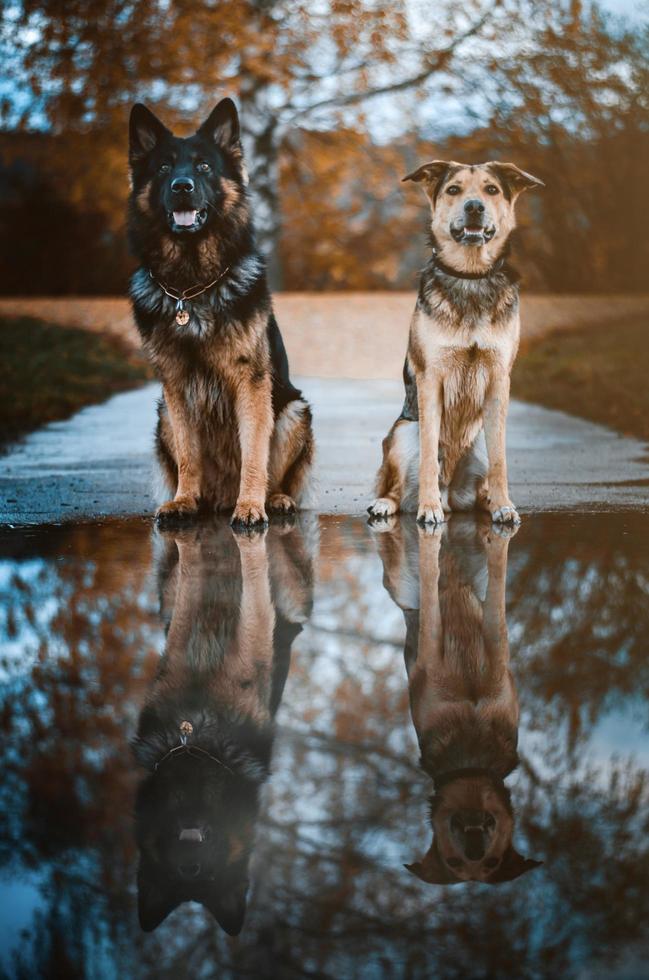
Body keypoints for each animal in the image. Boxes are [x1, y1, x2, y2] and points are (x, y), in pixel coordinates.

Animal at [370, 162, 540, 528]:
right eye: (453, 190)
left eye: (491, 190)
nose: (474, 206)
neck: (471, 277)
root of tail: (451, 494)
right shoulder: (430, 378)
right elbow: (428, 457)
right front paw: (427, 507)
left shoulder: (499, 380)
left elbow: (500, 460)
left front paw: (504, 505)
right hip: (402, 433)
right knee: (397, 486)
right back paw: (391, 503)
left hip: (478, 442)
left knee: (482, 485)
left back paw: (489, 502)